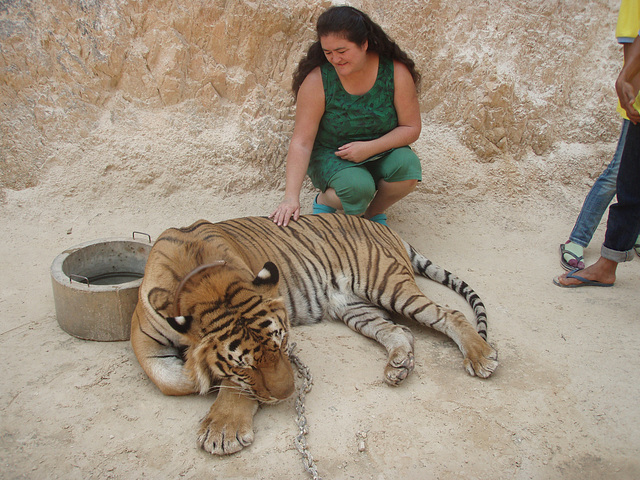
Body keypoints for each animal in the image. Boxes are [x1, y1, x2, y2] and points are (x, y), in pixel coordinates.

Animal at [131, 214, 500, 454]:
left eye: (283, 344)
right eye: (244, 365)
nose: (288, 395)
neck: (204, 280)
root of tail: (383, 226)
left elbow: (211, 383)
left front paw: (223, 429)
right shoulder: (144, 341)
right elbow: (172, 379)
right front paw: (202, 374)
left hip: (387, 284)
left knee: (449, 314)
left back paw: (480, 356)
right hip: (353, 306)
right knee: (397, 329)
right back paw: (399, 366)